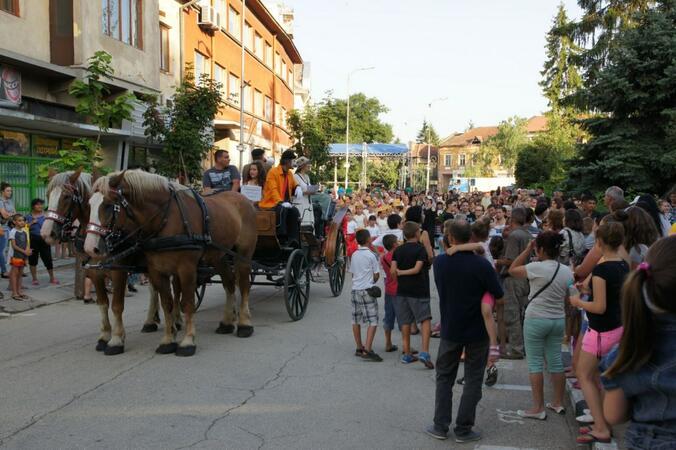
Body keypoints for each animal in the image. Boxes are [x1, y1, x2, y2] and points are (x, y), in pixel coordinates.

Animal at [42, 171, 182, 354]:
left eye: (66, 196)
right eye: (48, 195)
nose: (46, 234)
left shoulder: (118, 272)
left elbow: (116, 305)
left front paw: (116, 339)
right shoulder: (95, 273)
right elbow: (102, 304)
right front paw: (104, 337)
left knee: (176, 289)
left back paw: (176, 320)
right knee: (155, 289)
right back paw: (151, 321)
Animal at [82, 171, 256, 356]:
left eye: (108, 205)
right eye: (89, 205)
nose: (90, 248)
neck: (165, 218)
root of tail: (243, 199)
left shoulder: (186, 268)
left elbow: (187, 303)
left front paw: (187, 341)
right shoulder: (156, 270)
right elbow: (167, 303)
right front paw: (167, 340)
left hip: (243, 255)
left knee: (243, 285)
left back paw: (244, 324)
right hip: (219, 256)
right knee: (229, 283)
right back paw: (226, 322)